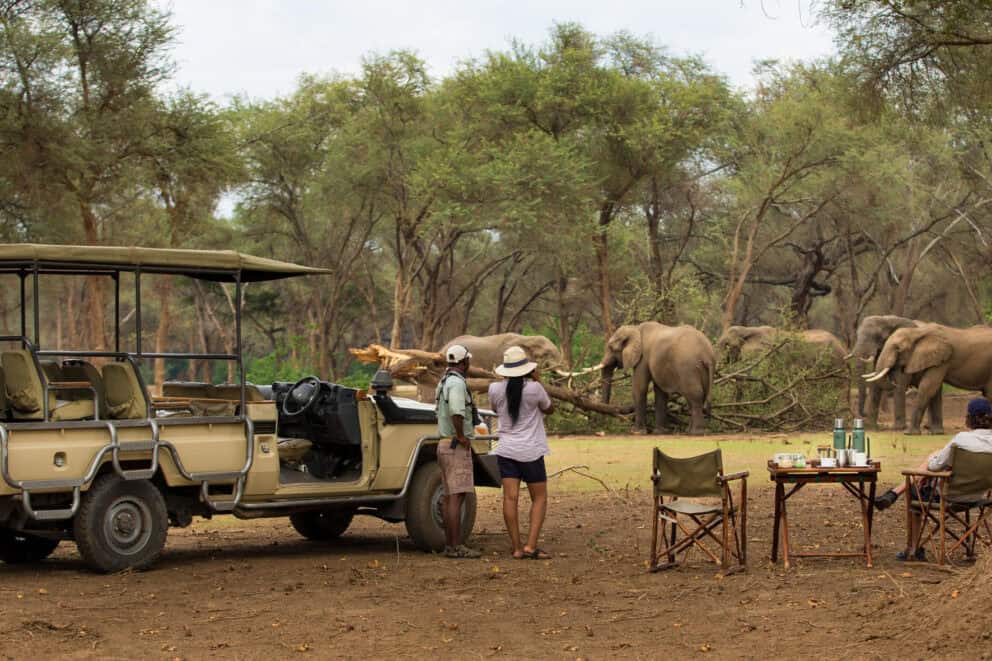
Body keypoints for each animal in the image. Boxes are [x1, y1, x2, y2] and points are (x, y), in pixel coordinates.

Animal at [863, 323, 992, 434]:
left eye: (898, 349)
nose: (894, 381)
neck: (917, 332)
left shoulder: (943, 359)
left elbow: (928, 387)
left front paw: (909, 433)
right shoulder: (936, 360)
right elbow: (935, 390)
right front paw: (936, 433)